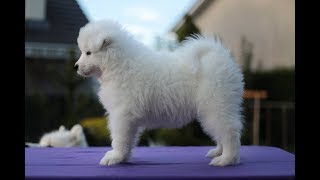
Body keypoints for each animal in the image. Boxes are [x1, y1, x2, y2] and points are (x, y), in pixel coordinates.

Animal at [75, 19, 244, 166]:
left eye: (88, 53)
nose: (76, 66)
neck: (118, 64)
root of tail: (219, 55)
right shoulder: (128, 118)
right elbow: (128, 140)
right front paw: (123, 157)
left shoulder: (122, 114)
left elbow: (119, 138)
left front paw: (114, 157)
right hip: (215, 108)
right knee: (221, 132)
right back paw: (218, 152)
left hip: (216, 104)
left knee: (229, 131)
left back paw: (226, 159)